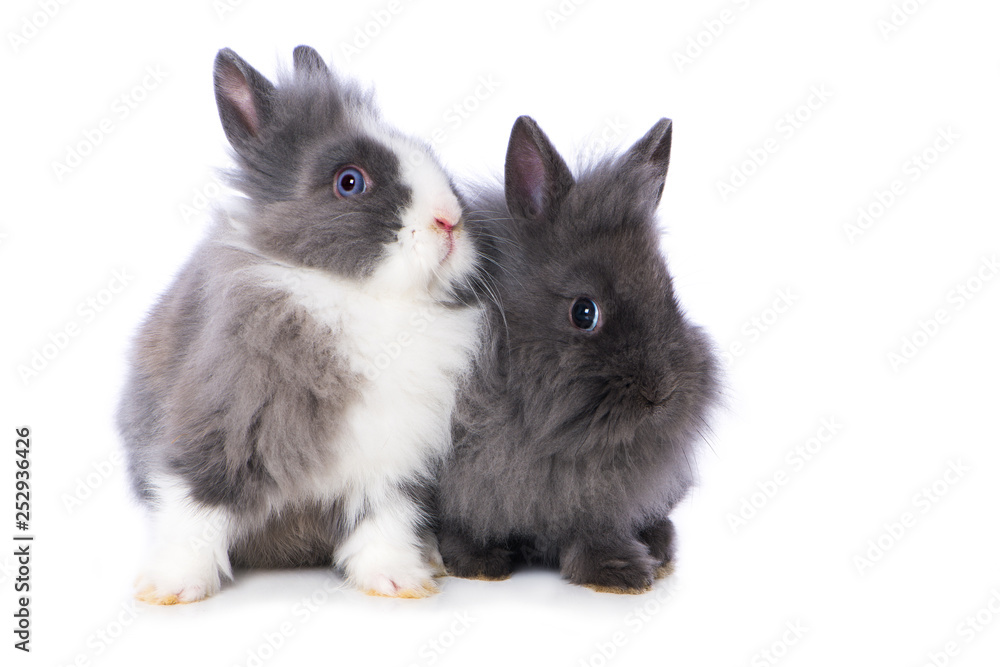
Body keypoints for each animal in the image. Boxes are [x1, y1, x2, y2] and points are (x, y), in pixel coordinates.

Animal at [116, 45, 483, 604]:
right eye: (349, 182)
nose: (449, 221)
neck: (360, 298)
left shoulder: (391, 457)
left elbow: (383, 519)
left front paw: (399, 581)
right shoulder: (216, 430)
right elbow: (196, 507)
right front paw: (170, 588)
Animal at [435, 116, 720, 594]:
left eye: (669, 294)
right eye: (584, 312)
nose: (660, 394)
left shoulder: (601, 500)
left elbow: (595, 532)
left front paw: (620, 573)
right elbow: (462, 526)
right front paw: (477, 563)